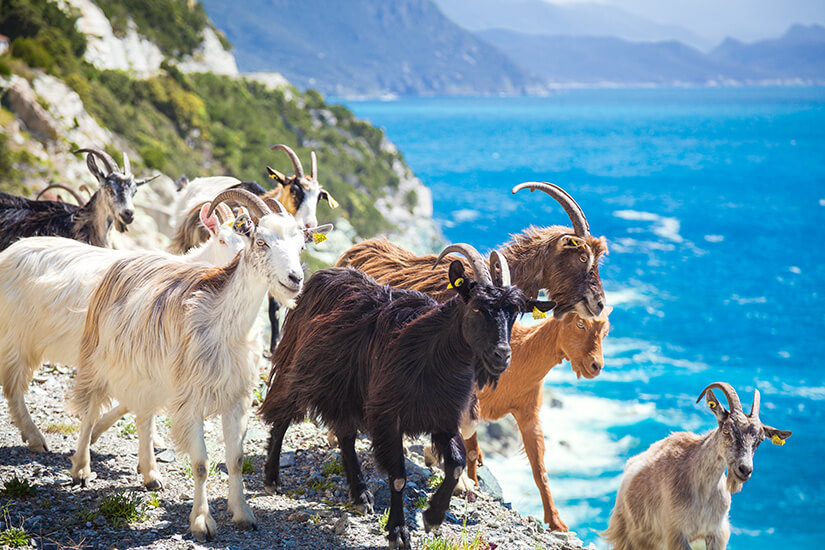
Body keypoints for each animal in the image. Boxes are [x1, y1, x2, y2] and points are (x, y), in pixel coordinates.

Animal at [68, 190, 332, 541]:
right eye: (261, 241)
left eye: (301, 246)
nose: (295, 279)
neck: (224, 326)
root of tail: (126, 260)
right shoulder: (191, 398)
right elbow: (202, 464)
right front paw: (202, 522)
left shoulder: (237, 399)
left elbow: (235, 459)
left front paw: (243, 514)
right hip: (98, 358)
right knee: (89, 411)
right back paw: (82, 469)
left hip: (150, 375)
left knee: (143, 416)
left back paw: (150, 475)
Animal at [261, 244, 554, 549]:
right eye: (477, 307)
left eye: (514, 313)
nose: (502, 355)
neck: (431, 353)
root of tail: (323, 275)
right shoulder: (387, 415)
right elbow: (399, 477)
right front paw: (398, 531)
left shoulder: (443, 418)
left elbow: (457, 465)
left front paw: (433, 516)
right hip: (299, 368)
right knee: (282, 416)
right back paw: (272, 478)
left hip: (346, 391)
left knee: (345, 435)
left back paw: (360, 495)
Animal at [604, 382, 791, 550]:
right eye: (726, 430)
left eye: (760, 440)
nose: (744, 470)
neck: (703, 492)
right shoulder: (676, 533)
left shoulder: (715, 533)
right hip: (628, 535)